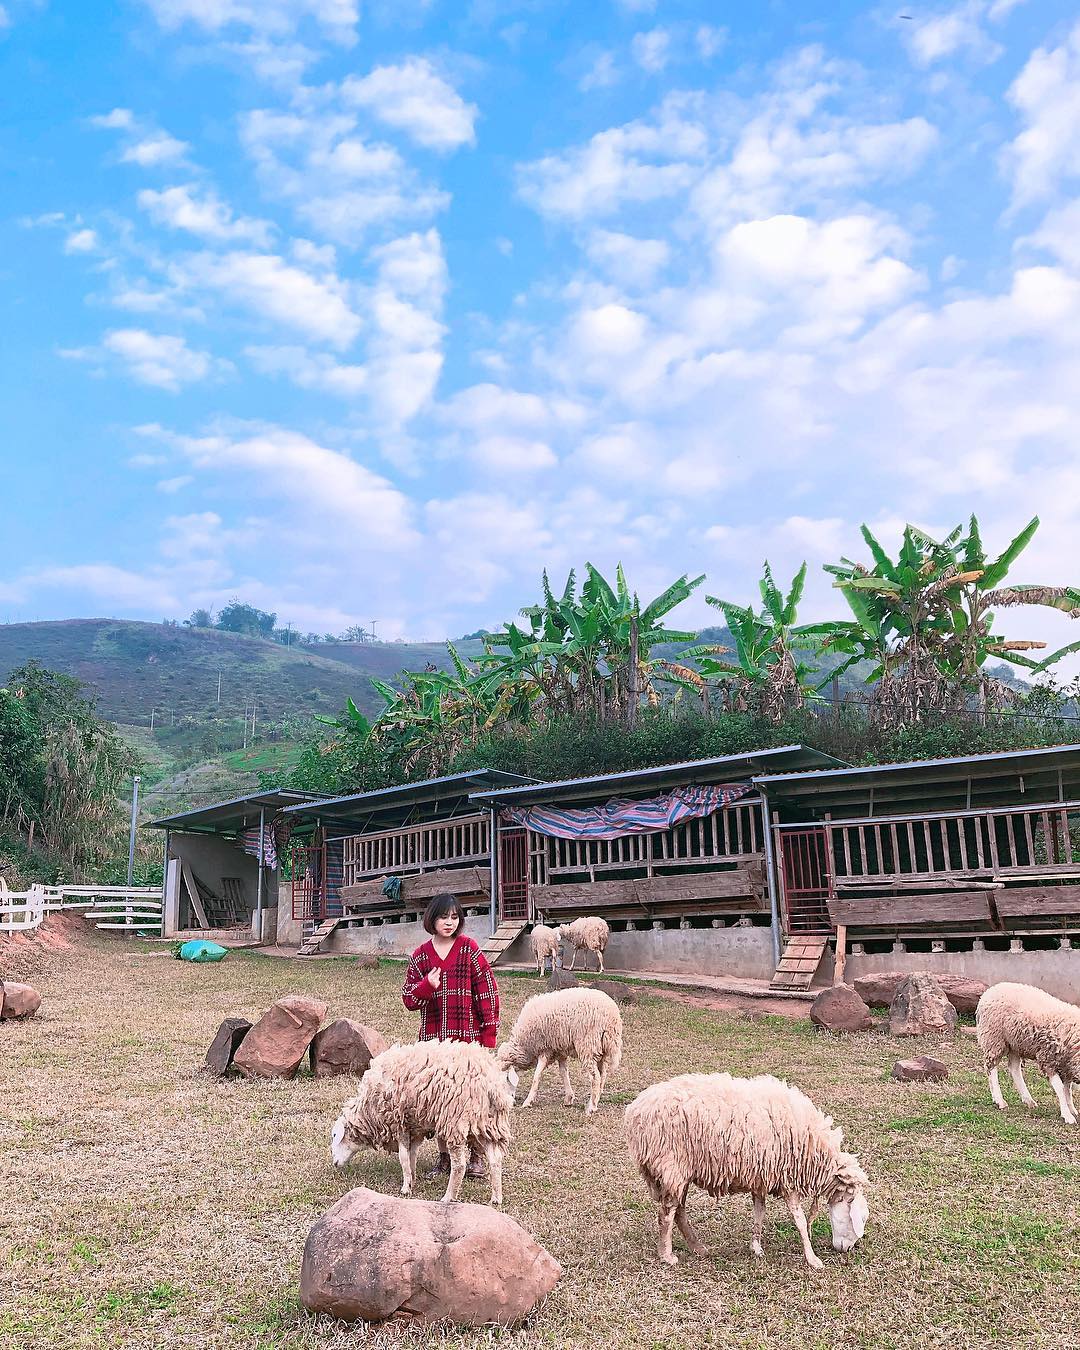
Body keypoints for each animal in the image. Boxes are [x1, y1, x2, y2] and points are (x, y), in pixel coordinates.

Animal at [329, 1036, 518, 1209]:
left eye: (335, 1136)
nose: (335, 1164)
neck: (370, 1112)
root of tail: (492, 1084)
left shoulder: (398, 1122)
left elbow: (403, 1157)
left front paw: (406, 1188)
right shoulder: (415, 1126)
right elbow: (412, 1154)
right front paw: (412, 1179)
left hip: (455, 1121)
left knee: (459, 1165)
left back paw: (448, 1198)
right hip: (488, 1124)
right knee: (495, 1160)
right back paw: (496, 1198)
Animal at [623, 1069, 869, 1269]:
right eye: (860, 1218)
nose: (846, 1249)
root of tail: (634, 1111)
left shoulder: (763, 1174)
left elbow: (759, 1211)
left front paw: (756, 1247)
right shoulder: (787, 1178)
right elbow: (799, 1220)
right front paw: (812, 1258)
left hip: (680, 1170)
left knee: (679, 1211)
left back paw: (698, 1248)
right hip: (672, 1165)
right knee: (667, 1213)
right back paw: (667, 1255)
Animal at [972, 982, 1074, 1128]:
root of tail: (989, 991)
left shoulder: (1067, 1065)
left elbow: (1068, 1089)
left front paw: (1071, 1109)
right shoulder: (1048, 1058)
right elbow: (1061, 1088)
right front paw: (1067, 1115)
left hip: (1015, 1043)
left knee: (1014, 1068)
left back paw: (1028, 1099)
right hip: (994, 1038)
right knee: (991, 1067)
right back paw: (999, 1100)